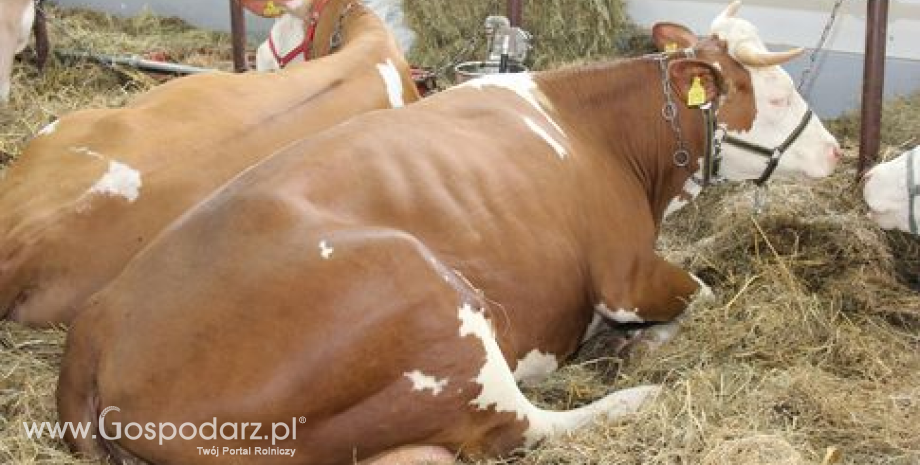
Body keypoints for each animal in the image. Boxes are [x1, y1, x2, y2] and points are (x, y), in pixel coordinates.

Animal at [59, 1, 840, 462]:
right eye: (774, 95)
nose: (836, 152)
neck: (600, 133)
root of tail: (94, 342)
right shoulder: (627, 274)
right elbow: (703, 291)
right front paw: (639, 343)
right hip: (431, 298)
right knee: (512, 425)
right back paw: (633, 394)